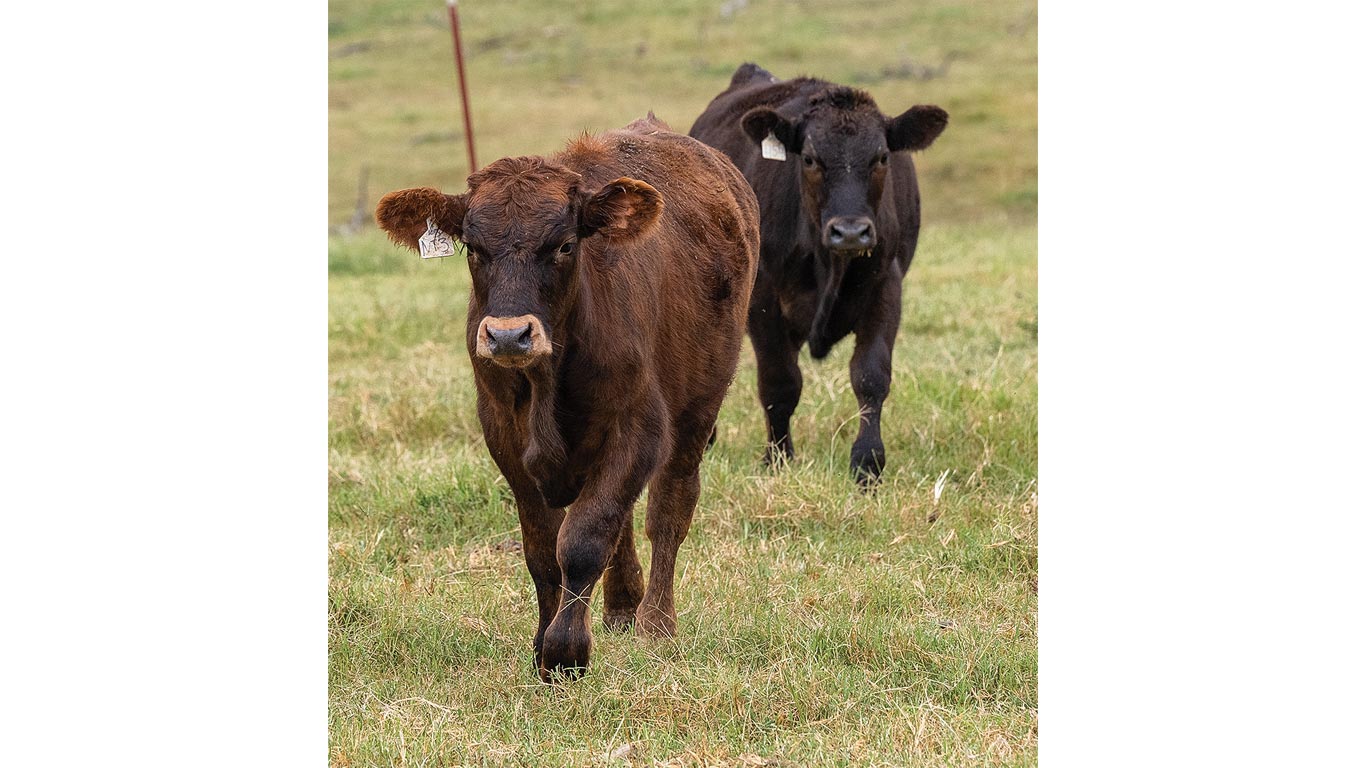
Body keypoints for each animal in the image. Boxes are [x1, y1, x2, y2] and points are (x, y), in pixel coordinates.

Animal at [375, 115, 759, 682]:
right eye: (473, 248)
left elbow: (583, 540)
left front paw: (565, 651)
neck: (547, 383)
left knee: (669, 508)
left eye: (563, 245)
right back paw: (622, 605)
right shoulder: (505, 438)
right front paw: (542, 640)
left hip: (699, 407)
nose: (509, 336)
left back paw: (655, 622)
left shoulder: (639, 426)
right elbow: (542, 549)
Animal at [689, 63, 948, 485]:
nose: (851, 231)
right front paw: (778, 459)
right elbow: (779, 382)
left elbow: (871, 375)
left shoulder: (886, 286)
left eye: (881, 157)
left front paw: (867, 464)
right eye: (810, 158)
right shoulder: (763, 298)